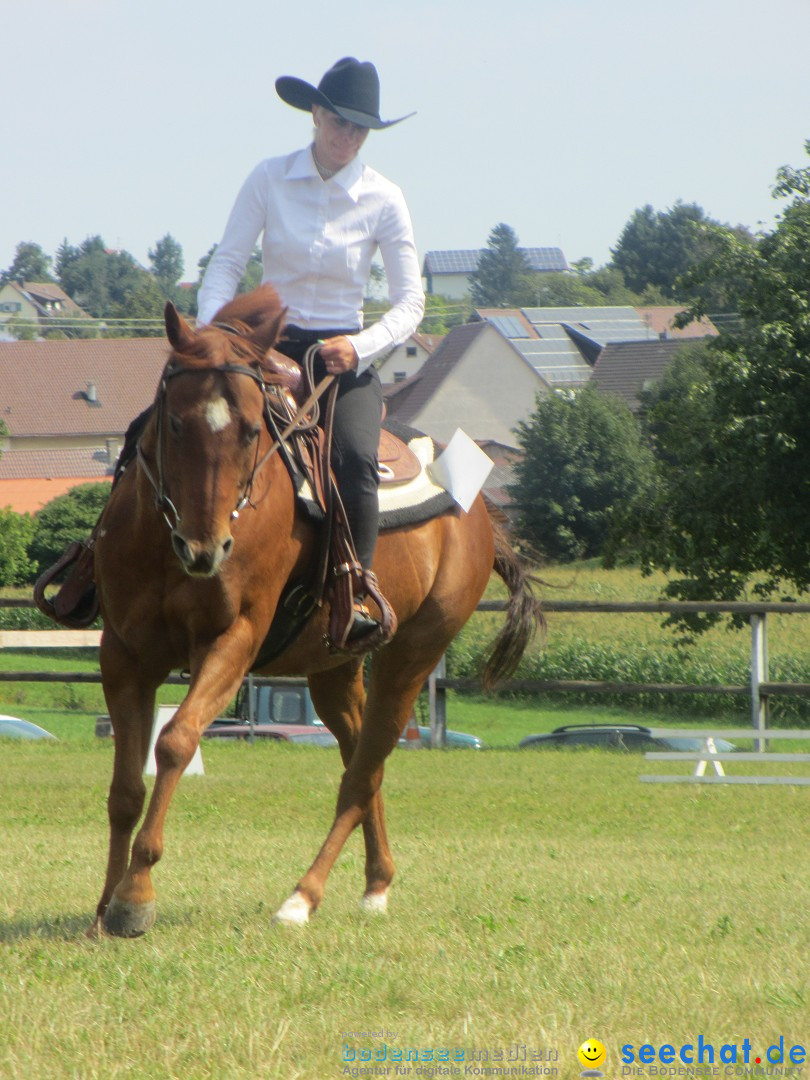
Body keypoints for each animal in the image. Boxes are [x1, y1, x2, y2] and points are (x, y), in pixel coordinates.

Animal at [88, 285, 542, 937]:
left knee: (363, 771)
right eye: (173, 422)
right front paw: (105, 905)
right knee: (361, 756)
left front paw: (135, 896)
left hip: (413, 655)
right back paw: (376, 882)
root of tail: (478, 512)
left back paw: (303, 896)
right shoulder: (124, 654)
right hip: (335, 667)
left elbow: (175, 742)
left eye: (253, 430)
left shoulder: (232, 641)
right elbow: (124, 787)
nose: (205, 550)